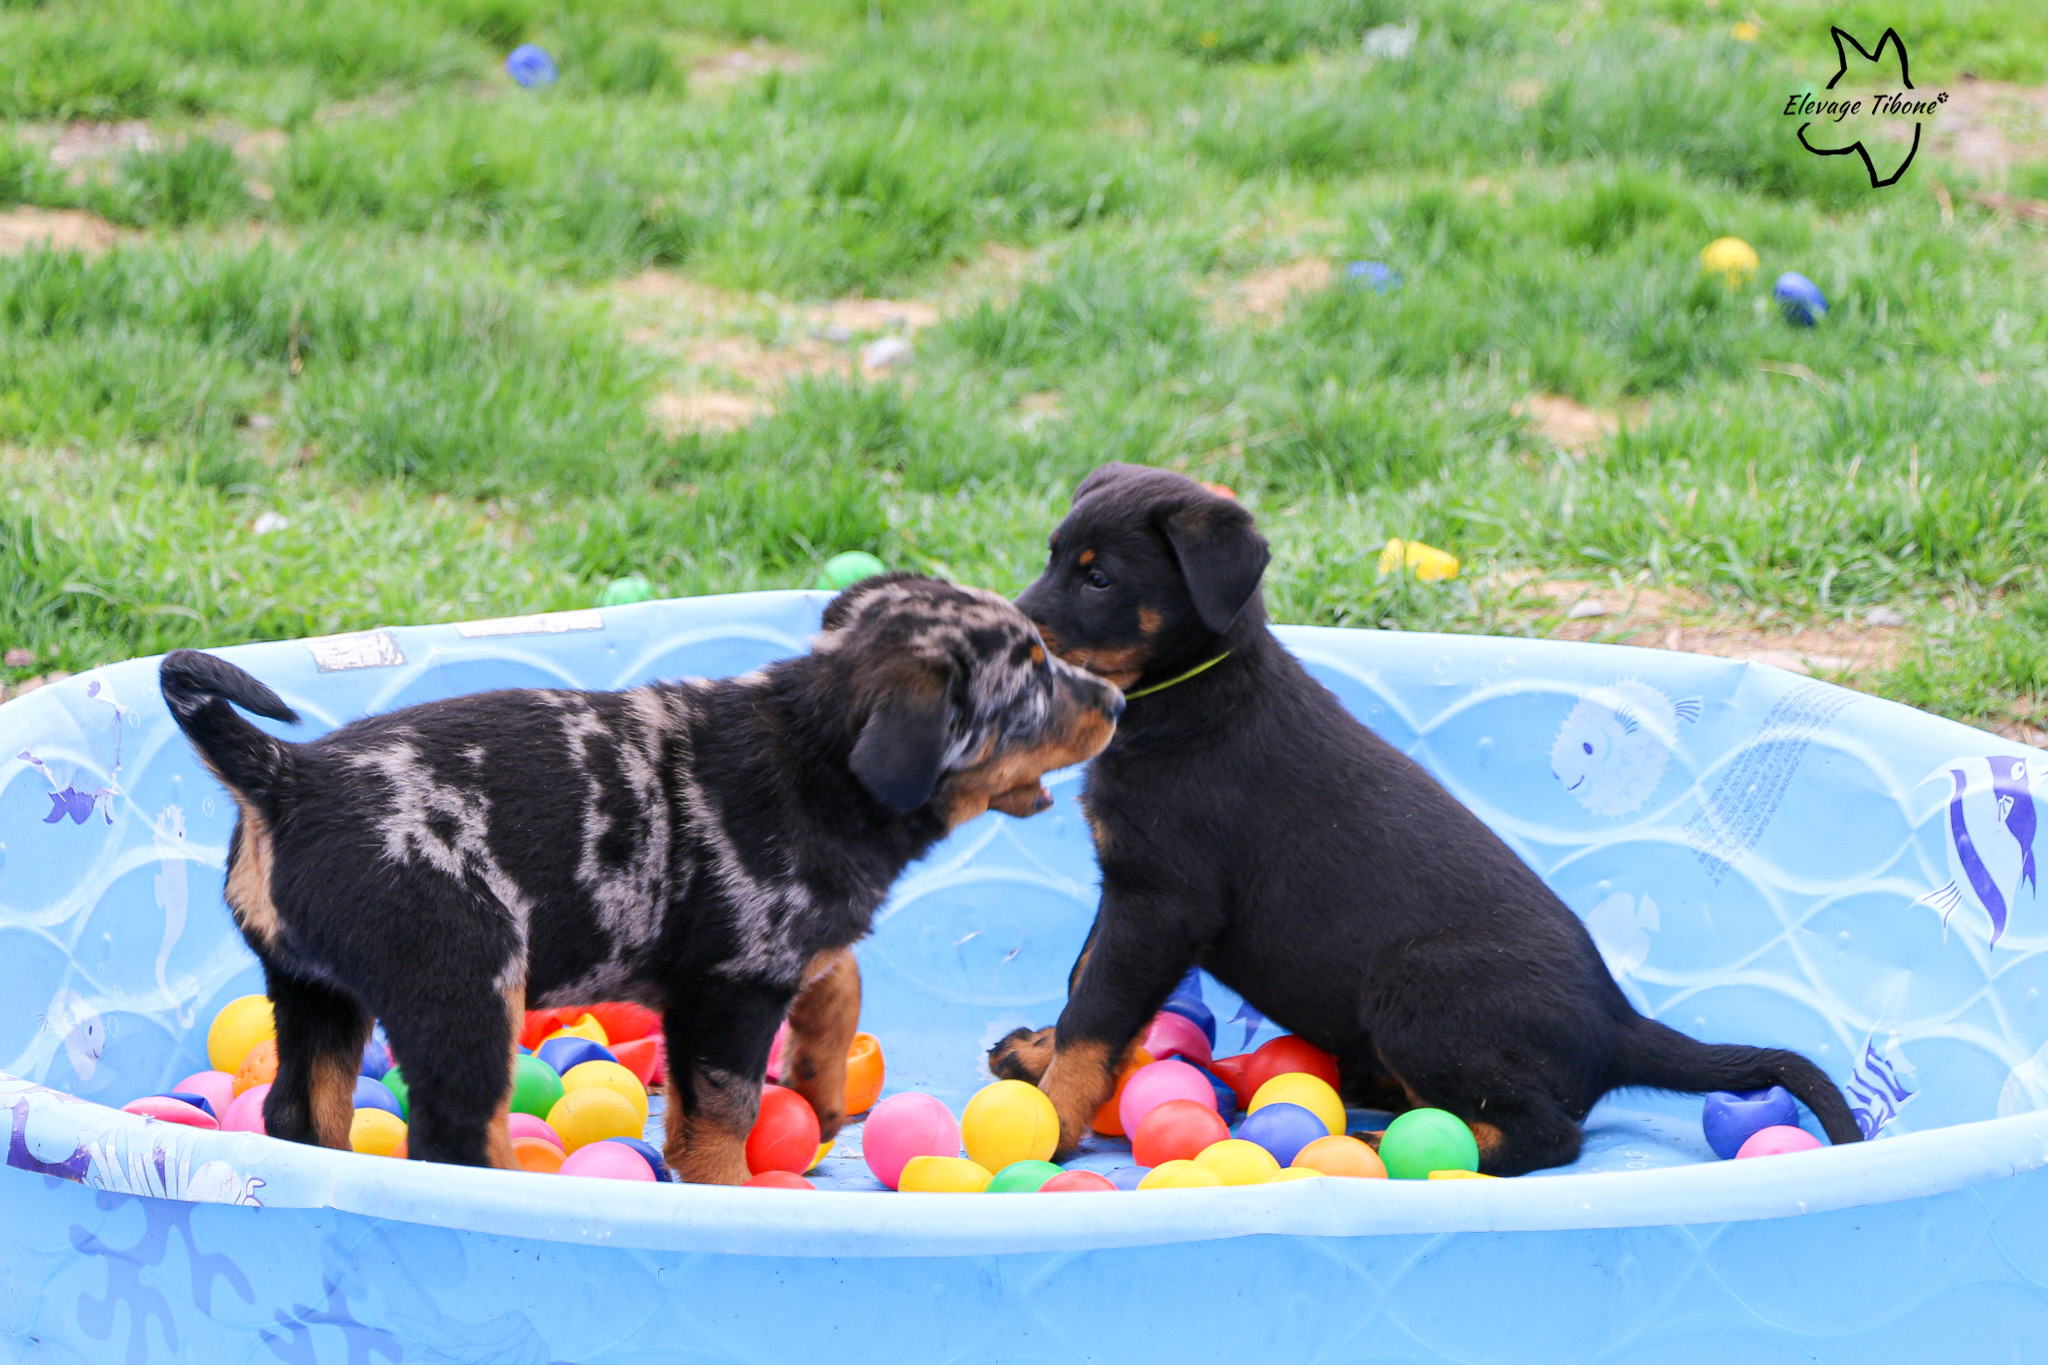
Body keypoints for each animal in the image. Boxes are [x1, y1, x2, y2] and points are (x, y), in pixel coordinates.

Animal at [163, 577, 1122, 1186]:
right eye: (1033, 676)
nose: (1114, 702)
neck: (813, 752)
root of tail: (287, 773)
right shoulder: (728, 990)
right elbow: (723, 1120)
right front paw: (736, 1185)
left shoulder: (771, 960)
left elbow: (838, 978)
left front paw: (819, 1088)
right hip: (465, 986)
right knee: (455, 1137)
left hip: (315, 994)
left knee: (302, 1111)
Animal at [983, 466, 1867, 1178]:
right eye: (1054, 557)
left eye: (1100, 580)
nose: (1010, 635)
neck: (1188, 698)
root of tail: (1618, 1025)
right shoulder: (1127, 891)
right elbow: (1084, 982)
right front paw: (1038, 1055)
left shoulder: (1161, 899)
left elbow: (1097, 1009)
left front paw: (1054, 1117)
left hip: (1413, 989)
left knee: (1547, 1135)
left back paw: (1384, 1142)